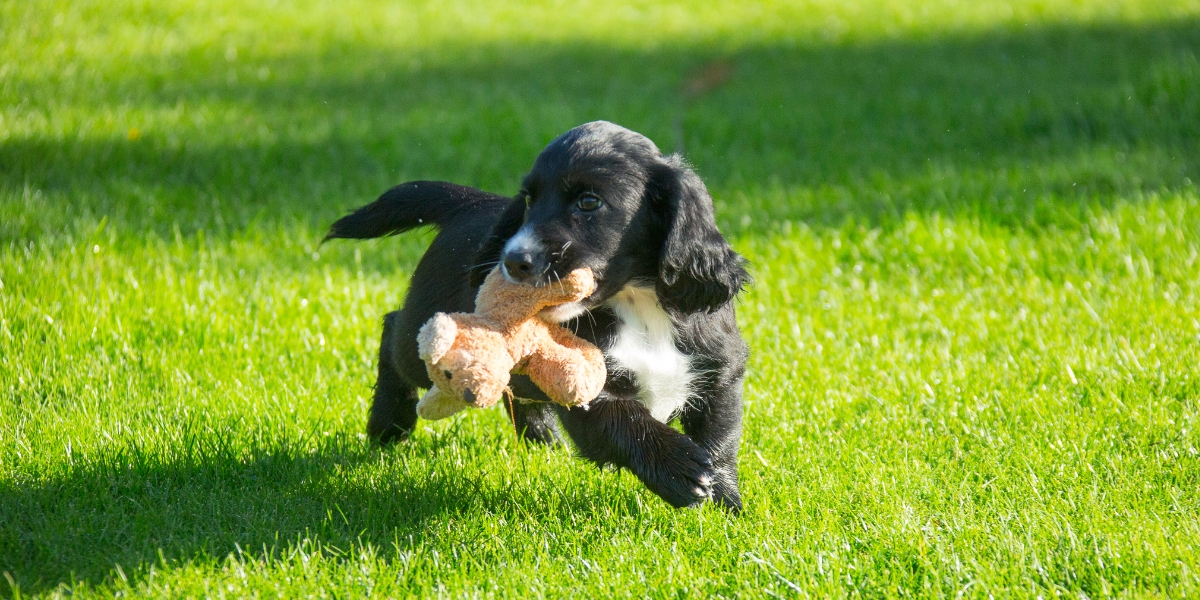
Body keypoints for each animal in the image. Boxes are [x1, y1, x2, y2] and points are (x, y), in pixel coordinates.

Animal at [324, 121, 744, 511]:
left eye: (588, 202)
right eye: (528, 200)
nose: (513, 261)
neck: (638, 302)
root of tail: (469, 203)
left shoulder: (721, 369)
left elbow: (720, 439)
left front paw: (725, 508)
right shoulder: (588, 387)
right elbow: (626, 421)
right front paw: (680, 470)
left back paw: (542, 440)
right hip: (428, 332)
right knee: (396, 329)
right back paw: (388, 426)